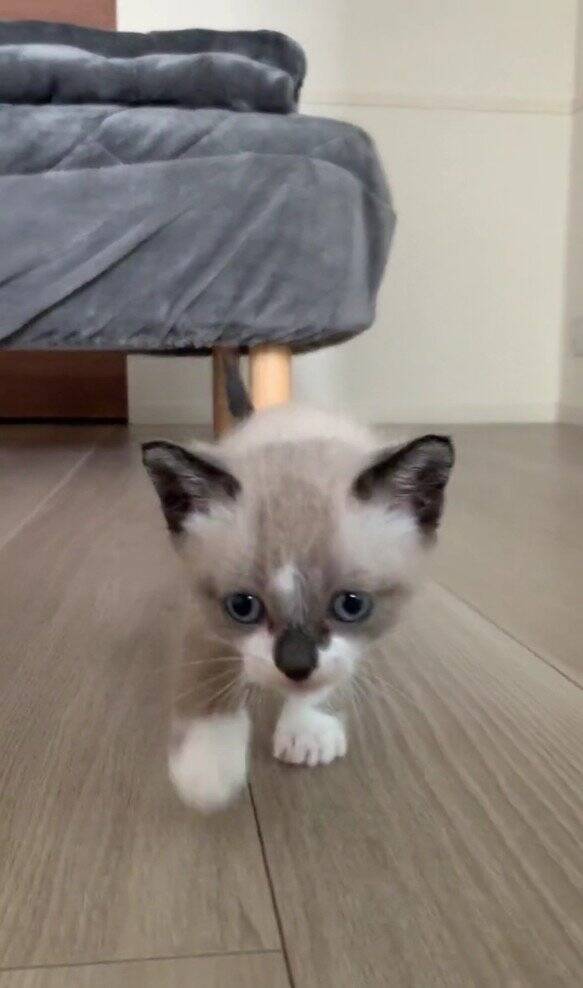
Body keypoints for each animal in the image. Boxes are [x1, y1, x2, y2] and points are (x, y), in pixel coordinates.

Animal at [142, 373, 454, 813]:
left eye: (351, 605)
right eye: (242, 606)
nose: (295, 664)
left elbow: (333, 676)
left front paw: (308, 730)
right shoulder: (202, 615)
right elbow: (207, 675)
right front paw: (206, 769)